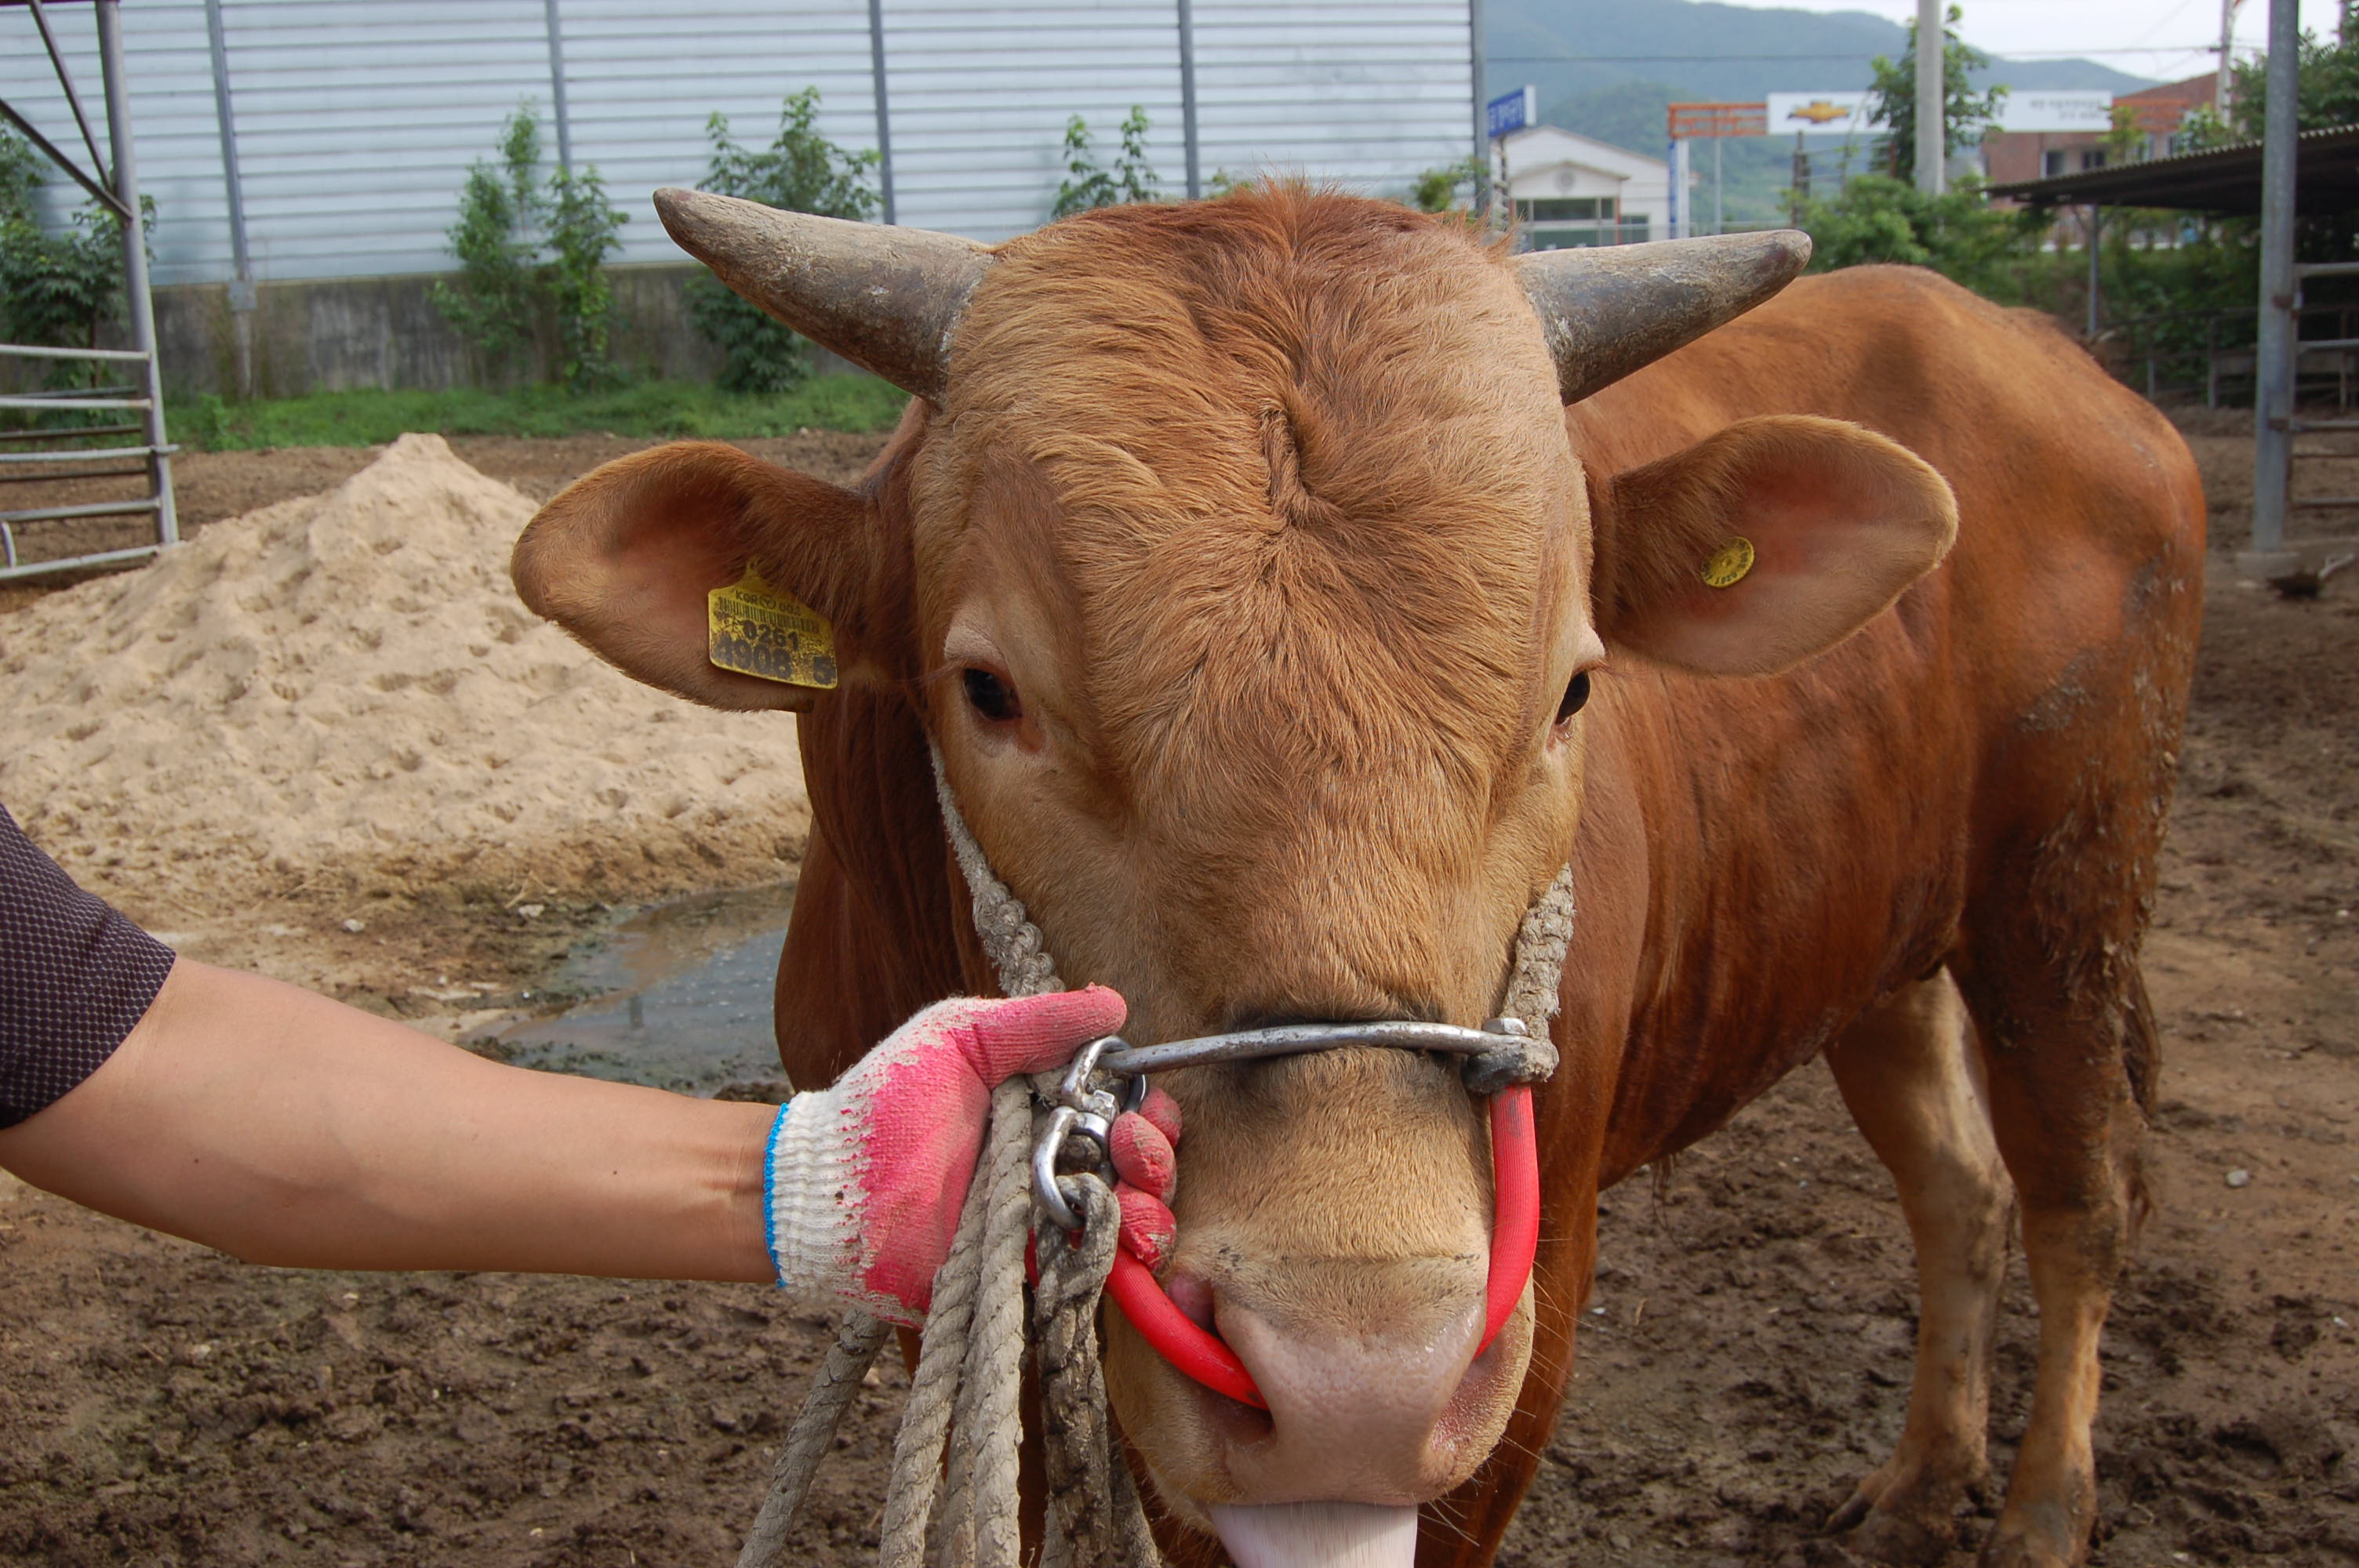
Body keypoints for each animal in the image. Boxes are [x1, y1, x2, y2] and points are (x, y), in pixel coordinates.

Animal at [521, 186, 2208, 1565]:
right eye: (988, 692)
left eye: (1573, 689)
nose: (1350, 1372)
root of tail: (2043, 356)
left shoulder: (1526, 1314)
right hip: (1887, 950)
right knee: (1955, 1186)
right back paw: (1921, 1483)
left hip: (2064, 900)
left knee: (2078, 1194)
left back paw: (2040, 1513)